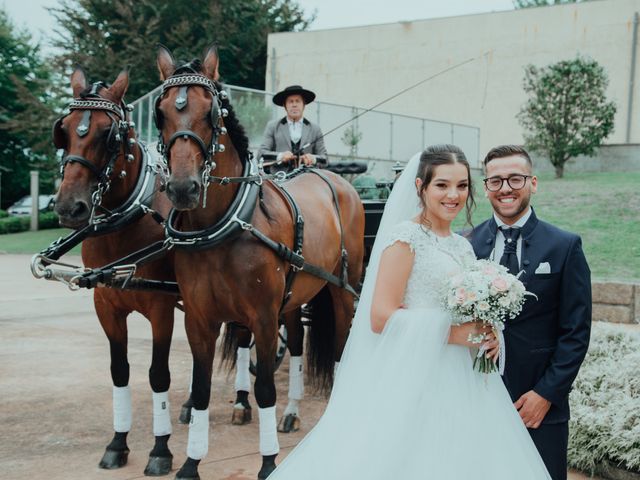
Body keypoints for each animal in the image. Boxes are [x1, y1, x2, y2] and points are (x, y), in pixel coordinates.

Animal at [52, 67, 178, 476]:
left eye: (108, 133)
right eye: (64, 129)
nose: (69, 207)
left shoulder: (162, 308)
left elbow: (158, 374)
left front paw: (160, 450)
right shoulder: (106, 305)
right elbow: (119, 370)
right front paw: (117, 443)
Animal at [155, 46, 364, 480]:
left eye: (212, 111)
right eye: (161, 112)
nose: (183, 189)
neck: (225, 225)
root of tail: (336, 180)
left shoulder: (264, 318)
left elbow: (265, 388)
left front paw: (268, 463)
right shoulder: (199, 320)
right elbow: (200, 390)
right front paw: (190, 463)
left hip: (342, 289)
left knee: (341, 344)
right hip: (296, 294)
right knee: (298, 342)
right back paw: (292, 412)